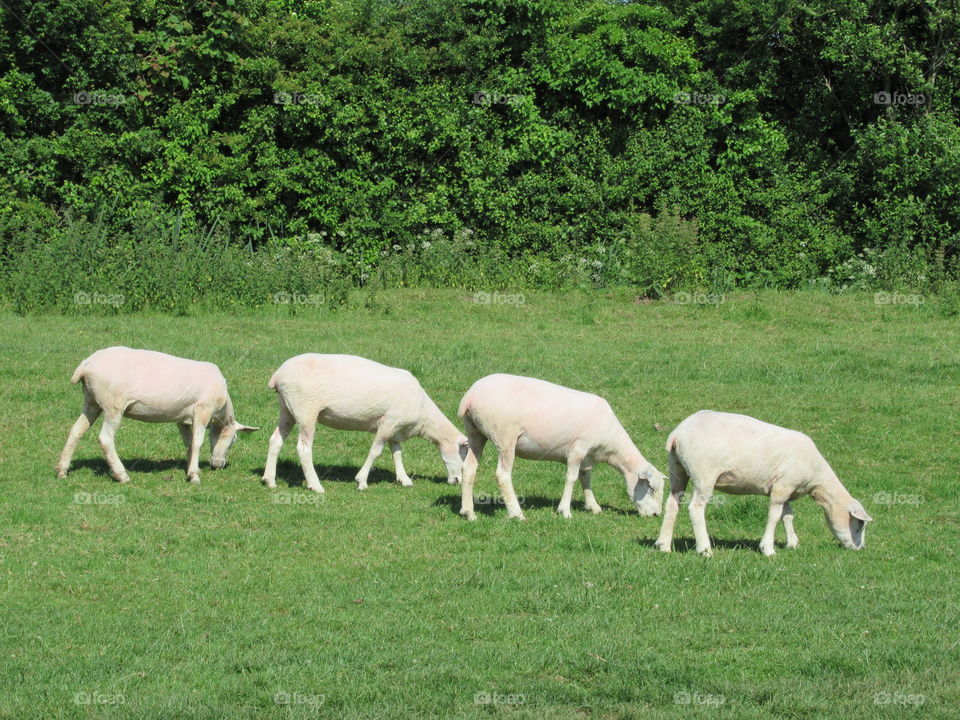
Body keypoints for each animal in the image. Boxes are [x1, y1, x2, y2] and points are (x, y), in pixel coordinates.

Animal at [55, 344, 258, 484]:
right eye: (233, 441)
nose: (219, 465)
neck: (221, 413)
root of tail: (86, 366)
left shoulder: (183, 420)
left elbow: (189, 444)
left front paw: (189, 468)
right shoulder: (203, 410)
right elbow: (198, 442)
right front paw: (194, 476)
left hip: (91, 401)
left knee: (75, 431)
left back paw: (62, 470)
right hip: (113, 406)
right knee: (105, 438)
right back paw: (122, 475)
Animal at [258, 352, 468, 492]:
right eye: (464, 453)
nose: (457, 480)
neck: (424, 417)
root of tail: (277, 375)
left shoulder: (396, 427)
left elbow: (397, 453)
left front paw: (404, 479)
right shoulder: (388, 423)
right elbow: (375, 452)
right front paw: (361, 481)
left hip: (287, 409)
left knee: (275, 440)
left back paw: (269, 480)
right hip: (306, 410)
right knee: (303, 448)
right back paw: (315, 485)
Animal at [460, 374, 668, 520]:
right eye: (651, 488)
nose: (656, 515)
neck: (610, 446)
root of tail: (470, 396)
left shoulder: (587, 457)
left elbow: (586, 479)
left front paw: (593, 506)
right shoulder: (578, 450)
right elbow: (572, 478)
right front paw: (565, 511)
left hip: (475, 434)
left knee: (469, 469)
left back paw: (469, 512)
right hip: (505, 438)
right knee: (502, 475)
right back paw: (516, 513)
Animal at [656, 410, 872, 556]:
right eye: (859, 524)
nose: (861, 548)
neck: (817, 481)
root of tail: (678, 433)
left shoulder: (786, 489)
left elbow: (788, 516)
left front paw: (792, 543)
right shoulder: (782, 488)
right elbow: (774, 516)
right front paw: (767, 548)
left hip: (678, 470)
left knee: (672, 504)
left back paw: (664, 545)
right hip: (704, 474)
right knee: (695, 508)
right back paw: (705, 549)